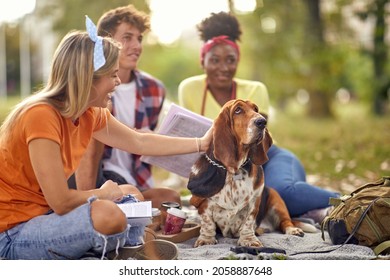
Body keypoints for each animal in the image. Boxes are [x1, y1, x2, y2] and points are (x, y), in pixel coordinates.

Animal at [187, 99, 316, 247]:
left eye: (255, 109)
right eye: (238, 110)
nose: (262, 122)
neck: (235, 172)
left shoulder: (254, 203)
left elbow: (248, 223)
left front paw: (249, 240)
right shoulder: (205, 205)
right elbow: (207, 223)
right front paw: (206, 240)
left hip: (277, 201)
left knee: (285, 221)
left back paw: (292, 230)